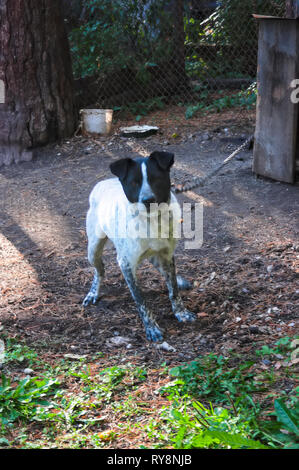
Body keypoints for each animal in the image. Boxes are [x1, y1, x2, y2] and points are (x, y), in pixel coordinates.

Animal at [82, 151, 197, 342]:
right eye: (134, 182)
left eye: (156, 179)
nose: (148, 200)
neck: (151, 222)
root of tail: (103, 182)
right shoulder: (126, 264)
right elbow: (140, 300)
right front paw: (151, 328)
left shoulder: (167, 255)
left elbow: (173, 289)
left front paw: (181, 313)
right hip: (93, 249)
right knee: (100, 270)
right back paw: (92, 293)